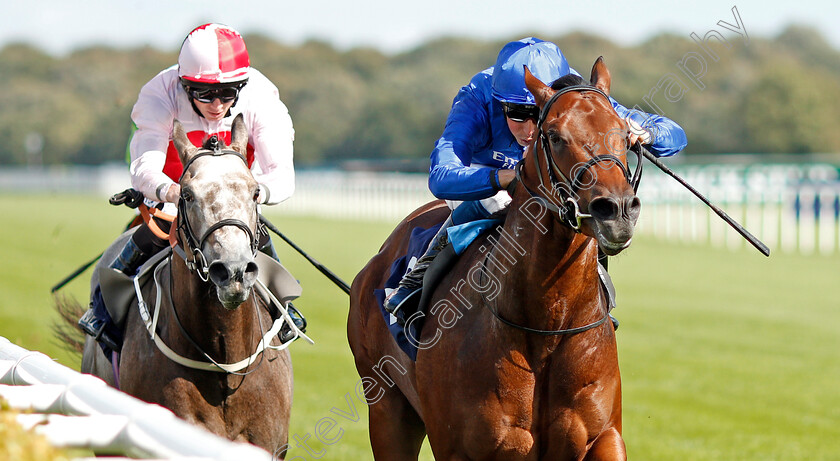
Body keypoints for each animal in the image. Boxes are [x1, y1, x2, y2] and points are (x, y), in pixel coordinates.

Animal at [346, 58, 636, 460]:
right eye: (555, 136)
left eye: (624, 134)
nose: (617, 211)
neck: (547, 325)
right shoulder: (460, 448)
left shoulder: (604, 436)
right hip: (387, 409)